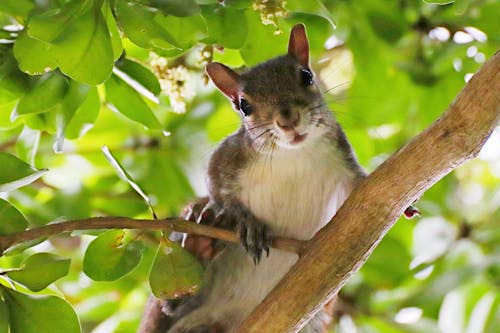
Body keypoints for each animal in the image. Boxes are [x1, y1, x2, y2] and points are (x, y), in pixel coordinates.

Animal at [164, 24, 418, 332]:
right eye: (243, 105)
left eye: (306, 76)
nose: (288, 119)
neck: (292, 155)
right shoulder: (226, 158)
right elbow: (218, 191)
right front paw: (246, 221)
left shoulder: (343, 162)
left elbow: (362, 186)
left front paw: (404, 203)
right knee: (175, 302)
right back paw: (198, 245)